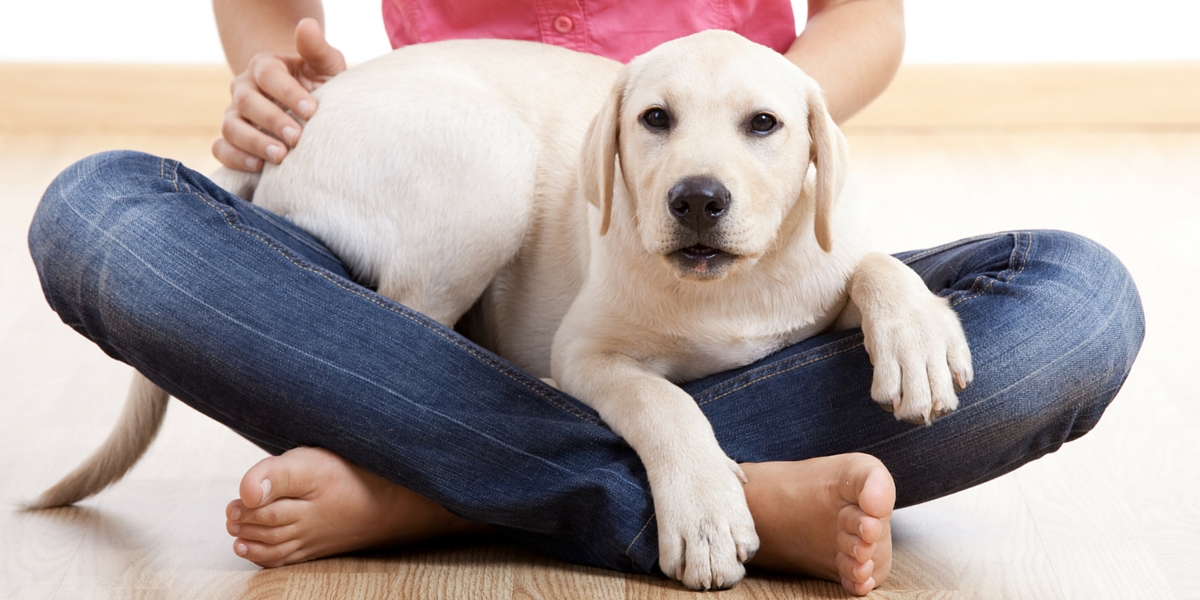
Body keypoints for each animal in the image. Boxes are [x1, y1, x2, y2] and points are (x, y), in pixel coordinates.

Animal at [35, 30, 974, 588]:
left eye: (765, 125)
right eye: (655, 119)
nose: (697, 200)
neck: (726, 285)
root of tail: (310, 113)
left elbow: (874, 263)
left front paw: (917, 337)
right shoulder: (587, 353)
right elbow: (664, 402)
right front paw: (706, 511)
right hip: (487, 168)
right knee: (405, 346)